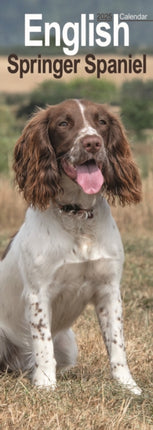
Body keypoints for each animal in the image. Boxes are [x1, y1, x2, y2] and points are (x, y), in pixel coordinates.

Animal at [0, 99, 142, 394]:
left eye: (102, 122)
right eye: (64, 123)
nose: (92, 143)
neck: (77, 216)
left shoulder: (109, 290)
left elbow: (117, 345)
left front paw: (128, 386)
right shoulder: (38, 293)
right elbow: (43, 345)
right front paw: (45, 385)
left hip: (67, 343)